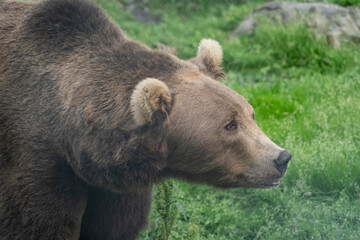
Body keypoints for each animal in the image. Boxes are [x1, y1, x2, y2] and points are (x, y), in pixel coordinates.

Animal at [0, 0, 292, 239]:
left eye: (250, 114)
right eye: (230, 125)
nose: (281, 158)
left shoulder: (115, 191)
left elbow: (113, 226)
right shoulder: (36, 158)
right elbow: (40, 224)